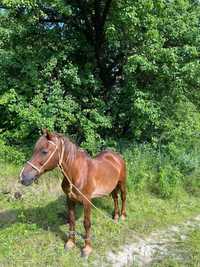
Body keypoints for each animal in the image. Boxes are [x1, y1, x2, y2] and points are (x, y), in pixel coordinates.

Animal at [20, 130, 126, 258]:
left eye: (44, 151)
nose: (23, 177)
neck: (77, 172)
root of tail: (116, 156)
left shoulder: (87, 201)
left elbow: (87, 223)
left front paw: (87, 249)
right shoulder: (69, 199)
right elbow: (71, 220)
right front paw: (70, 243)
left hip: (122, 183)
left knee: (123, 197)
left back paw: (122, 216)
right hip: (113, 186)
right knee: (115, 198)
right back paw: (115, 216)